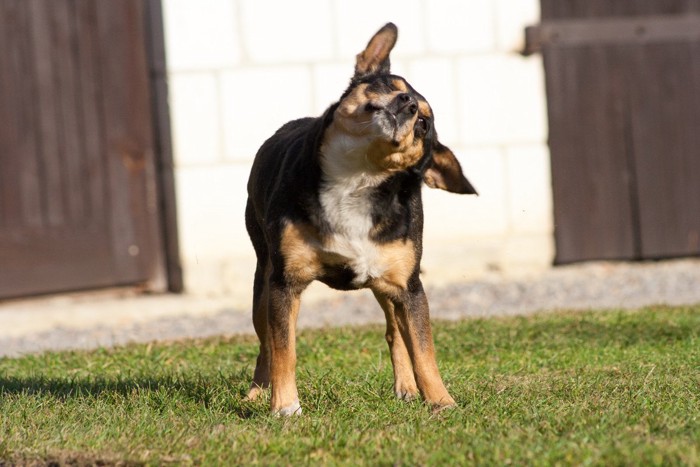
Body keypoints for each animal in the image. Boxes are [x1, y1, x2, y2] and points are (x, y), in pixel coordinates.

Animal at [243, 22, 478, 416]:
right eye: (389, 86)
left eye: (424, 124)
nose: (407, 103)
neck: (358, 178)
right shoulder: (285, 283)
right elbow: (284, 348)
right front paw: (285, 405)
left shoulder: (409, 287)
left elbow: (423, 350)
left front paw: (441, 401)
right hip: (263, 279)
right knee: (265, 342)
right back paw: (258, 392)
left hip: (388, 284)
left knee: (395, 333)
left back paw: (407, 387)